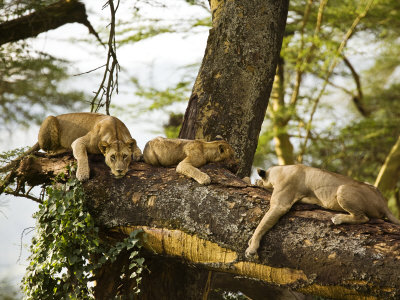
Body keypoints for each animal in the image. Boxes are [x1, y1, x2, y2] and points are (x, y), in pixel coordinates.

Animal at [245, 164, 398, 258]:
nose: (256, 181)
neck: (280, 170)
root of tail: (384, 202)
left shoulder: (280, 204)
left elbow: (262, 225)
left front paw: (251, 248)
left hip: (342, 189)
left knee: (363, 218)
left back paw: (338, 218)